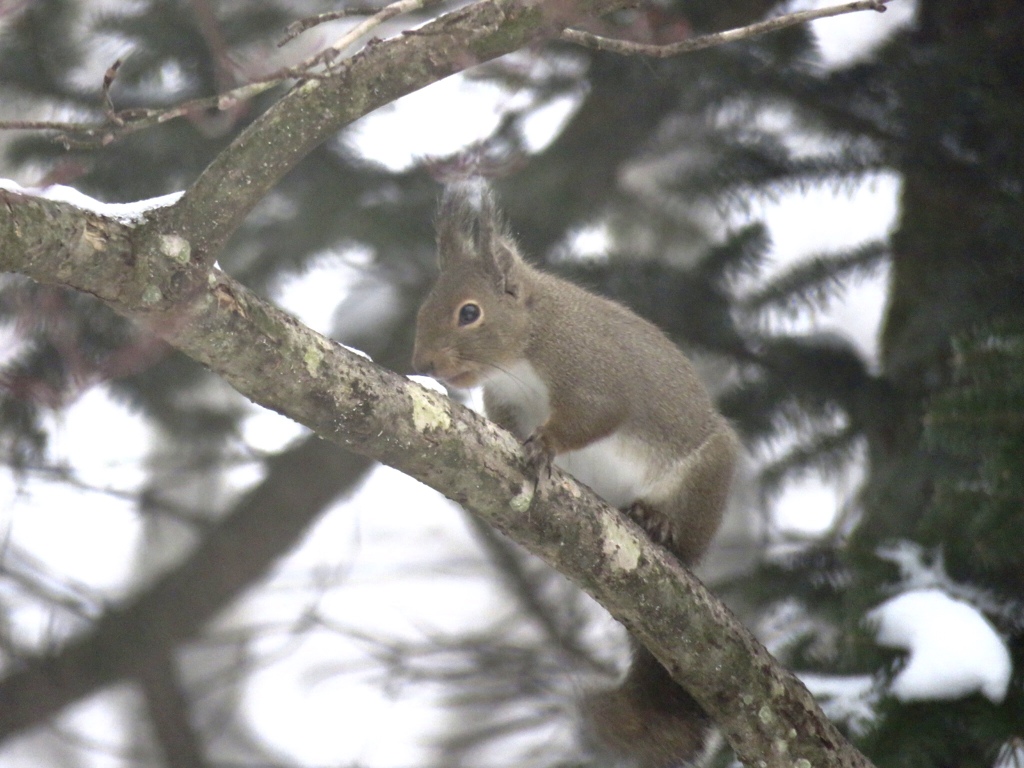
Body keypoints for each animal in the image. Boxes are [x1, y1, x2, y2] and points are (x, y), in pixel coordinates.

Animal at [411, 183, 741, 765]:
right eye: (428, 302)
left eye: (469, 312)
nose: (422, 362)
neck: (528, 345)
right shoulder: (504, 400)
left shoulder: (591, 375)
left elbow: (593, 417)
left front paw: (546, 447)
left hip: (703, 481)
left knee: (685, 537)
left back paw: (658, 523)